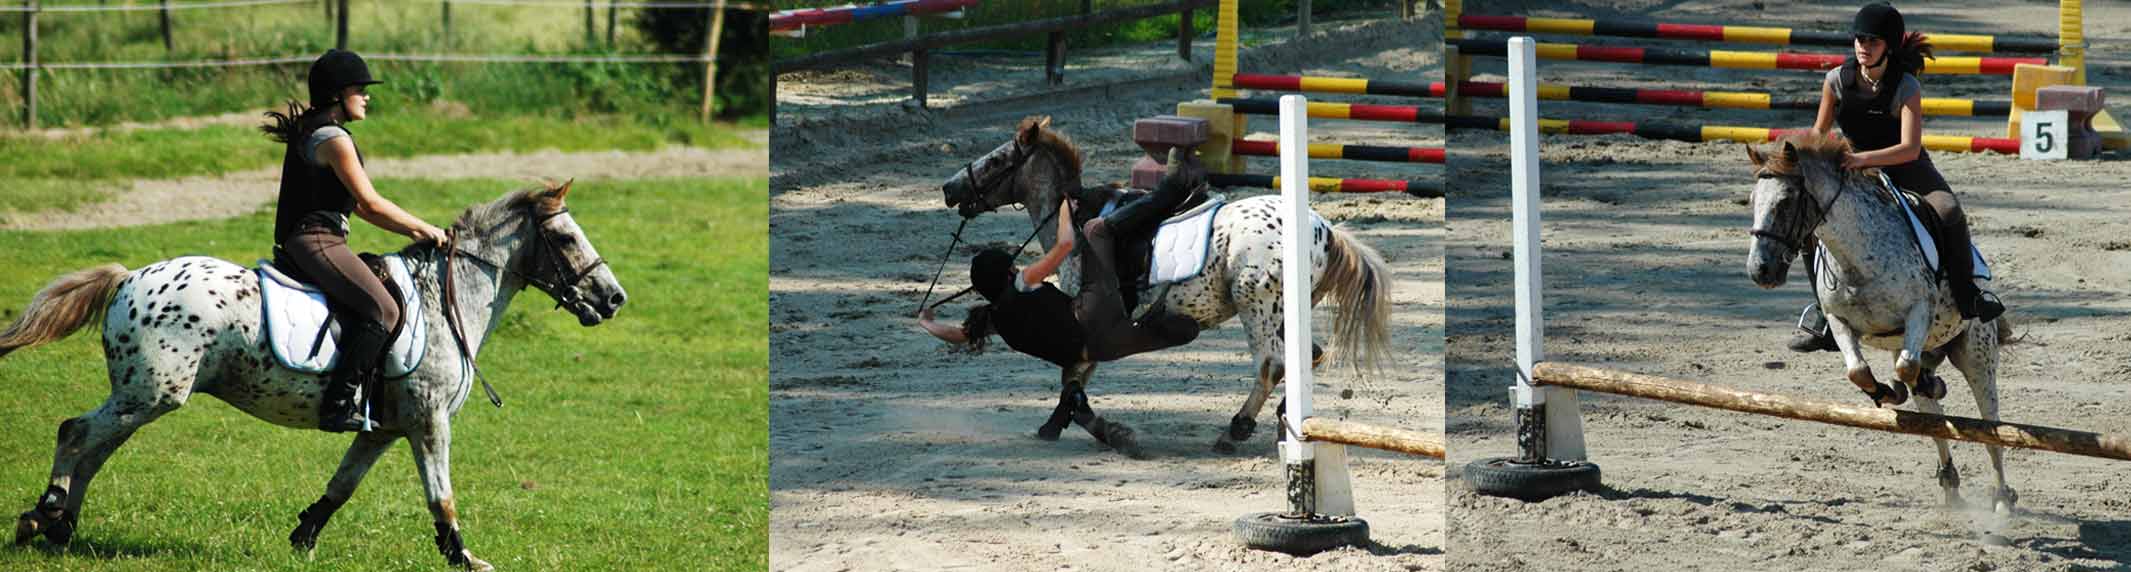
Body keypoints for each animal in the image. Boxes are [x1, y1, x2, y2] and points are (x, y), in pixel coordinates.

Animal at [0, 181, 625, 570]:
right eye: (565, 239)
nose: (614, 298)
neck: (444, 300)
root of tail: (129, 277)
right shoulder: (428, 422)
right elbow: (440, 495)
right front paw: (464, 557)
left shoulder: (382, 429)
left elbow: (342, 486)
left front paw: (301, 539)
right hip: (151, 394)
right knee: (77, 433)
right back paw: (43, 516)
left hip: (143, 395)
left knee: (97, 447)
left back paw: (60, 525)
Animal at [939, 116, 1393, 457]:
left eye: (996, 161)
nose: (949, 188)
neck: (1073, 218)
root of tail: (1327, 230)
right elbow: (1075, 381)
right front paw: (1058, 423)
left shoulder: (1091, 321)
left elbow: (1076, 377)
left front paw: (1085, 428)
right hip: (1287, 313)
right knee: (1305, 357)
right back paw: (1286, 418)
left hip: (1256, 306)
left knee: (1272, 364)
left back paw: (1236, 430)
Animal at [1745, 133, 2016, 515]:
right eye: (1752, 201)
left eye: (1784, 203)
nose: (1760, 271)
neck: (1856, 256)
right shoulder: (1839, 322)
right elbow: (1859, 370)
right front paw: (1887, 391)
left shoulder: (1920, 309)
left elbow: (1905, 366)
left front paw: (1902, 386)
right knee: (1932, 417)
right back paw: (1949, 480)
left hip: (1977, 353)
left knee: (1991, 431)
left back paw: (2002, 499)